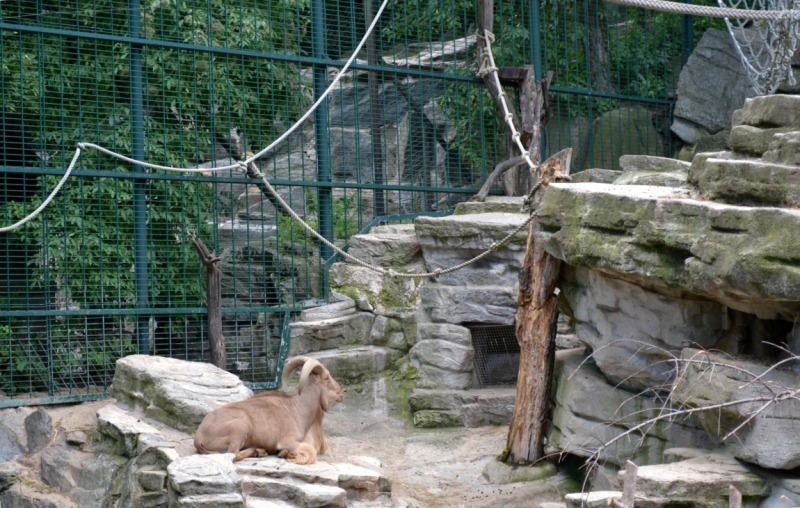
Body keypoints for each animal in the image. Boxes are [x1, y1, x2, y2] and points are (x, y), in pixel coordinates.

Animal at [195, 358, 346, 464]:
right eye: (326, 378)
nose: (343, 391)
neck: (298, 407)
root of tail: (199, 436)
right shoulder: (288, 440)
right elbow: (309, 451)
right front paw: (287, 454)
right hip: (240, 427)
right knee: (232, 454)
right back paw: (257, 450)